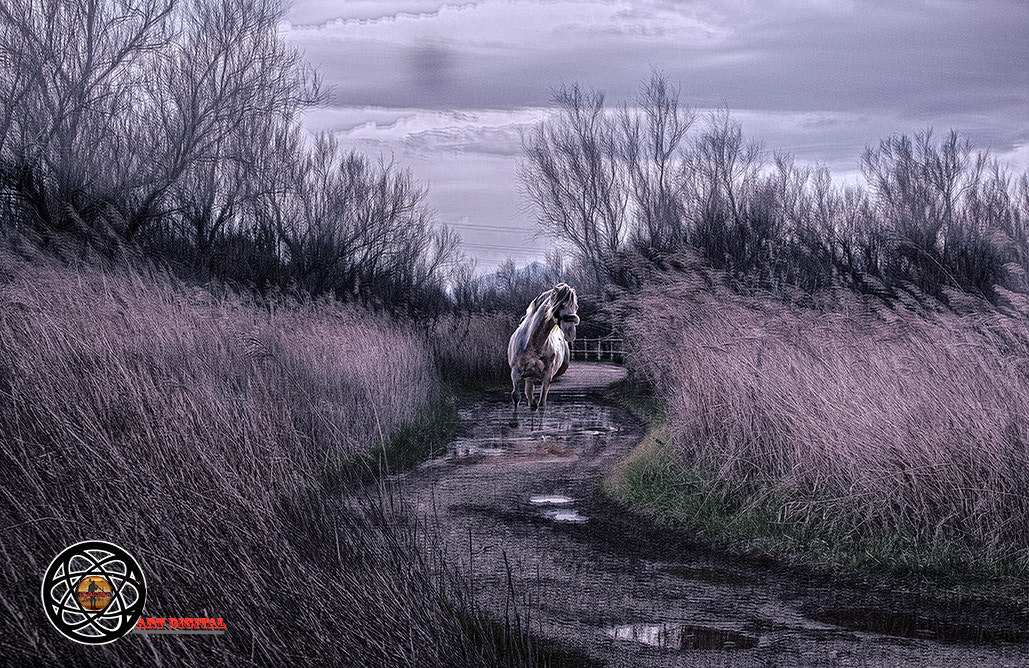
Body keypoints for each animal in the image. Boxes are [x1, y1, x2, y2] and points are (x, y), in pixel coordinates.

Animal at [507, 283, 579, 422]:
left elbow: (541, 403)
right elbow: (516, 396)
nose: (570, 333)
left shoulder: (547, 376)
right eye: (561, 305)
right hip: (529, 378)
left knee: (532, 401)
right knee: (530, 400)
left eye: (576, 307)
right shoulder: (515, 371)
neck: (534, 343)